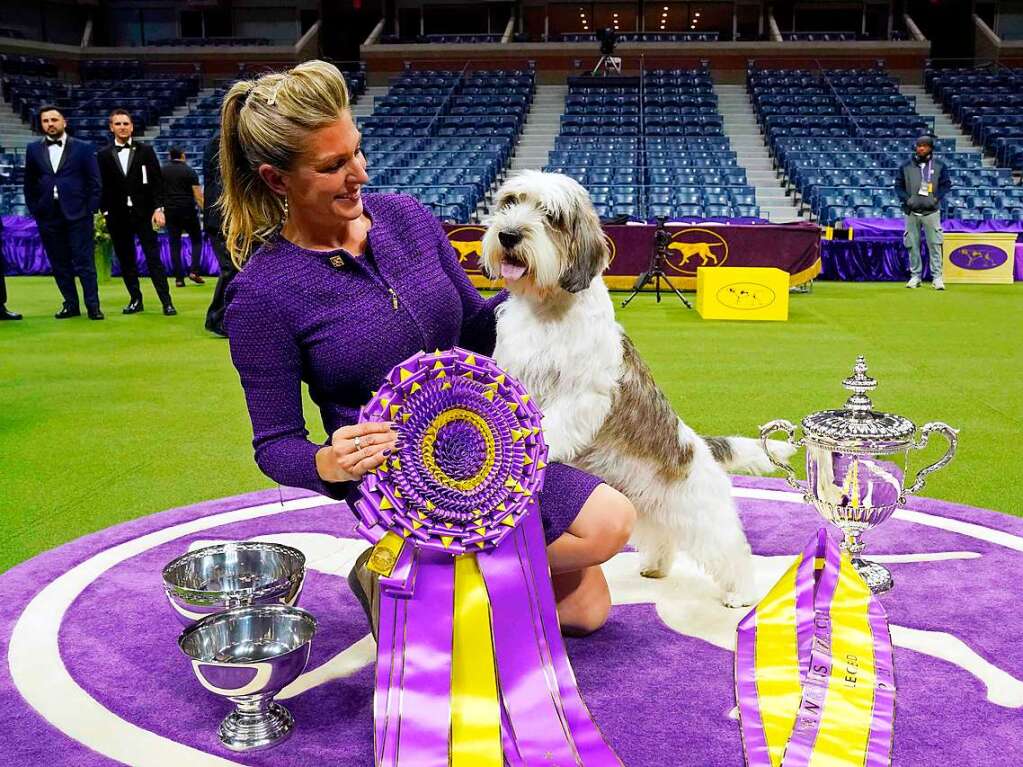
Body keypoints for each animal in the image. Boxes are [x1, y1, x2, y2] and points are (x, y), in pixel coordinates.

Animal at [480, 172, 797, 605]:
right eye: (510, 202)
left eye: (551, 215)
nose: (508, 235)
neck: (547, 311)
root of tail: (699, 444)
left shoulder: (582, 395)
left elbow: (552, 425)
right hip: (645, 502)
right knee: (664, 537)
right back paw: (656, 567)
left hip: (698, 509)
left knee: (730, 548)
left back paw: (743, 593)